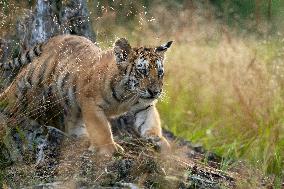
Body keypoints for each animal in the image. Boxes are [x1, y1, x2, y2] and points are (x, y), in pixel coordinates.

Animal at [0, 34, 173, 156]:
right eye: (142, 71)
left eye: (160, 73)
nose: (155, 92)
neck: (128, 93)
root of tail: (57, 37)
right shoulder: (91, 103)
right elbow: (102, 128)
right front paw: (110, 149)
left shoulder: (144, 106)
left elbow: (150, 123)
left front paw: (161, 143)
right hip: (31, 77)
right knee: (13, 89)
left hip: (72, 102)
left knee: (73, 123)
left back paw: (81, 138)